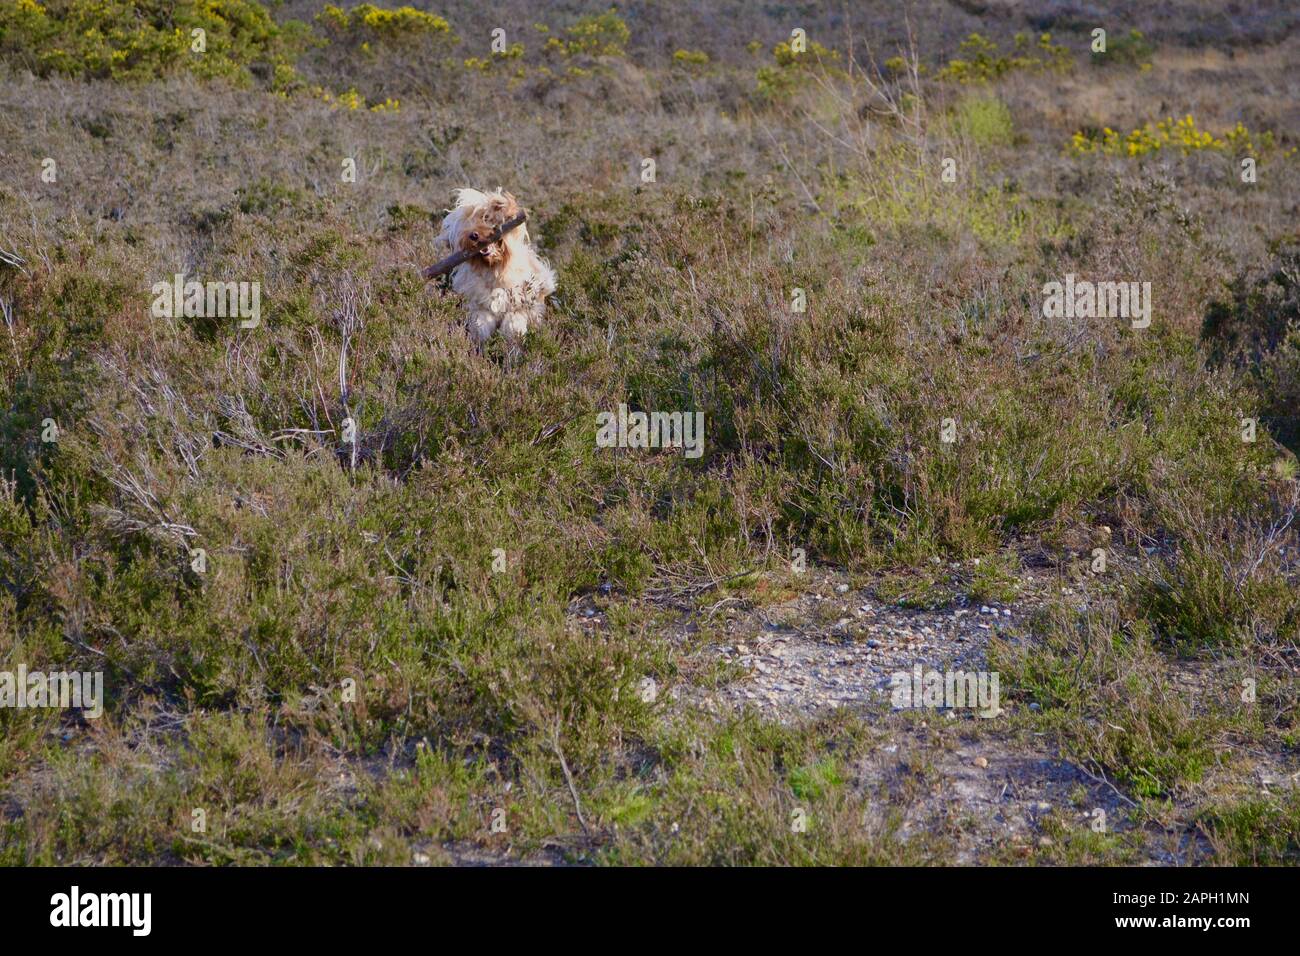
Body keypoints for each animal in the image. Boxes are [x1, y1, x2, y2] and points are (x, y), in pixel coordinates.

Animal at [436, 187, 559, 348]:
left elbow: (513, 325)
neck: (494, 270)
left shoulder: (522, 305)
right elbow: (480, 326)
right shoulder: (480, 307)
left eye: (487, 218)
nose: (473, 235)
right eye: (468, 224)